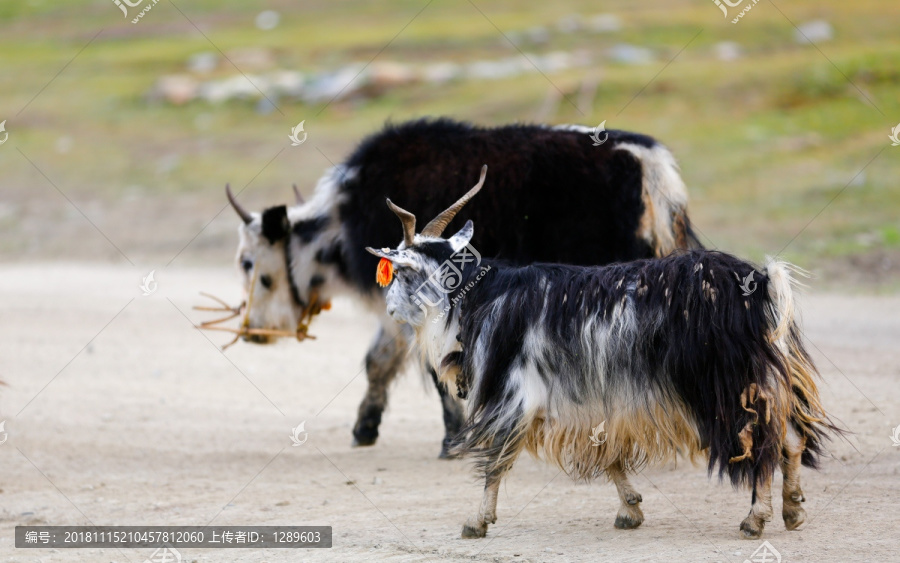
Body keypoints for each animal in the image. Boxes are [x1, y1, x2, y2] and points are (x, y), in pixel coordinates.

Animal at [227, 117, 704, 456]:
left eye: (250, 263)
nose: (252, 333)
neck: (343, 221)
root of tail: (650, 165)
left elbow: (429, 365)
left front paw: (451, 440)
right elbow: (380, 361)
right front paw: (365, 429)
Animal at [364, 173, 836, 540]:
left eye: (398, 273)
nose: (389, 307)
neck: (476, 296)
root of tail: (762, 283)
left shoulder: (514, 395)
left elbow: (496, 460)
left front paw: (476, 522)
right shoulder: (594, 397)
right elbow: (608, 452)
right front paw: (630, 509)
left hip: (730, 382)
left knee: (763, 442)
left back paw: (755, 519)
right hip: (764, 377)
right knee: (791, 438)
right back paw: (793, 509)